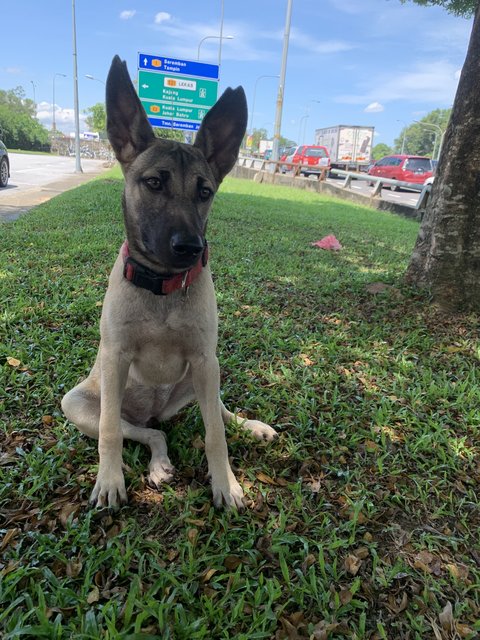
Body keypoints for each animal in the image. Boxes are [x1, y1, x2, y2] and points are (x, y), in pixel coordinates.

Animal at [62, 57, 276, 512]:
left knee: (216, 412)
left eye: (205, 191)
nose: (191, 248)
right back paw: (158, 463)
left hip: (203, 375)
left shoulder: (205, 358)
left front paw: (226, 483)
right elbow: (110, 432)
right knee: (147, 432)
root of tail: (154, 411)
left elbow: (215, 434)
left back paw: (249, 425)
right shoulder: (115, 359)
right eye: (154, 182)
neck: (161, 285)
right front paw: (109, 480)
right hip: (79, 402)